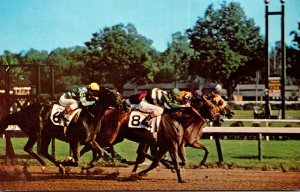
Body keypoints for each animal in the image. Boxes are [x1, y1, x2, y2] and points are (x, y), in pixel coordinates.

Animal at [0, 87, 129, 172]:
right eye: (115, 96)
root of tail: (22, 111)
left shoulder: (89, 140)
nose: (128, 106)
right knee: (29, 148)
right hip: (36, 133)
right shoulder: (75, 141)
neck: (91, 116)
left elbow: (101, 152)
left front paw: (85, 166)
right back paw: (45, 164)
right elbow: (76, 160)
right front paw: (68, 161)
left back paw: (59, 166)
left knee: (44, 151)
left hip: (46, 135)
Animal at [81, 95, 219, 182]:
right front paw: (180, 178)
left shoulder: (166, 145)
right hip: (110, 137)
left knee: (91, 145)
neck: (177, 119)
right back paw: (83, 163)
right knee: (90, 143)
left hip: (117, 137)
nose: (215, 117)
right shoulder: (173, 144)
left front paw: (139, 173)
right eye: (210, 106)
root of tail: (107, 111)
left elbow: (156, 161)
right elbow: (174, 161)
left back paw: (85, 164)